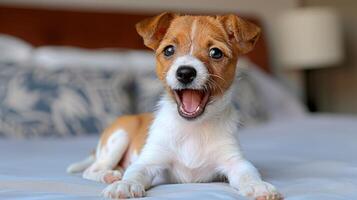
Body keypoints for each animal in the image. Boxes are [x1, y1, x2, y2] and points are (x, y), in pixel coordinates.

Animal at [67, 12, 280, 200]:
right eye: (169, 50)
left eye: (216, 53)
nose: (185, 73)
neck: (193, 128)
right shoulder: (148, 161)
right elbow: (134, 173)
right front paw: (124, 185)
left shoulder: (235, 162)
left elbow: (248, 174)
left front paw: (258, 186)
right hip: (119, 137)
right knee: (92, 169)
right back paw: (109, 175)